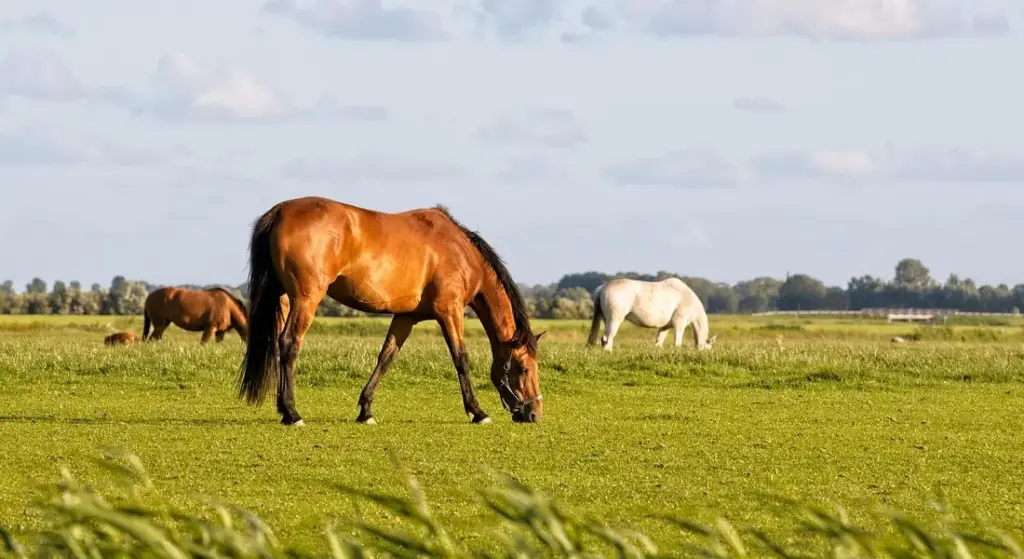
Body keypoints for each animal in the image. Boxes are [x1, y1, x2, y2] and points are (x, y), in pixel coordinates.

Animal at [237, 196, 545, 427]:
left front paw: (366, 411)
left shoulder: (406, 316)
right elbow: (461, 358)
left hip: (282, 298)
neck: (459, 250)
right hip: (305, 299)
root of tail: (279, 212)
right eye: (524, 368)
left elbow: (386, 357)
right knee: (289, 344)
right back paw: (292, 413)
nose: (533, 414)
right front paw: (478, 412)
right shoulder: (450, 311)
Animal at [586, 277, 717, 351]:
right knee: (606, 338)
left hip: (606, 320)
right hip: (614, 320)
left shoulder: (665, 327)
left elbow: (659, 341)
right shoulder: (679, 322)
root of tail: (602, 288)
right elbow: (677, 341)